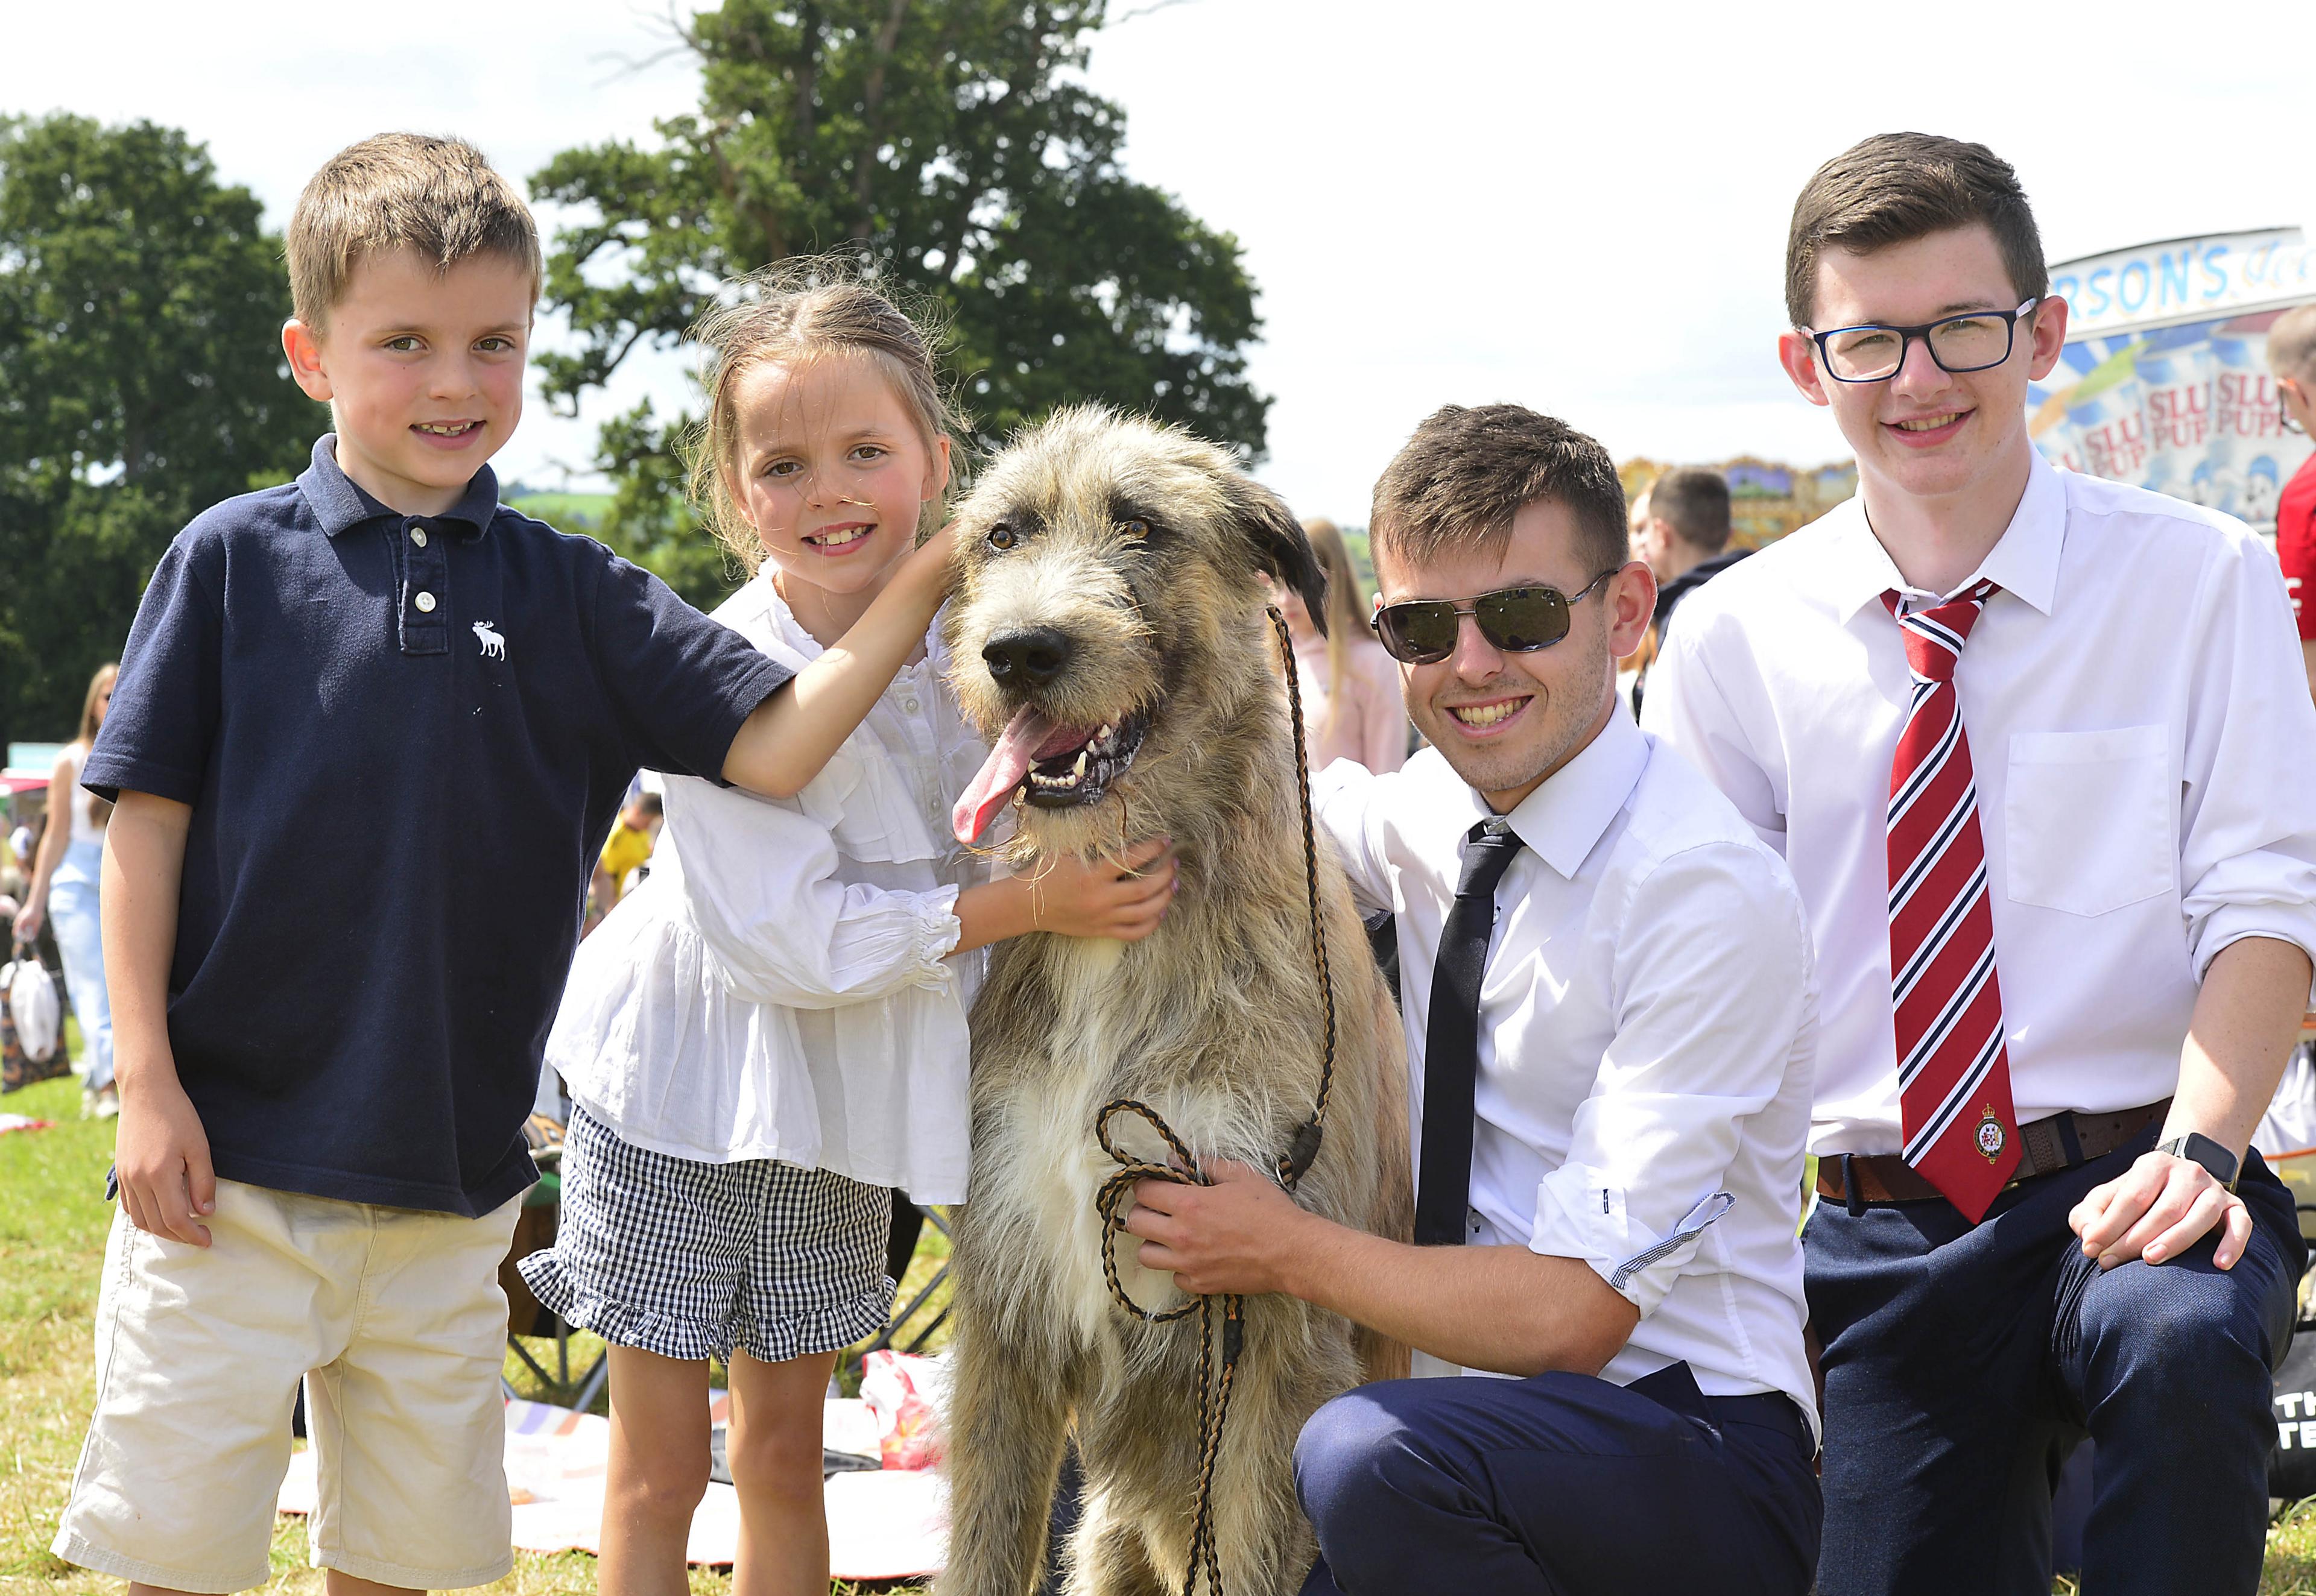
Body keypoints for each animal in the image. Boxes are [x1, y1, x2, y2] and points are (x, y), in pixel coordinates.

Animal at [926, 408, 1399, 1594]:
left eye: (1141, 524)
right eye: (1003, 533)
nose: (1020, 652)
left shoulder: (1272, 1326)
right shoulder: (1005, 1304)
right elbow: (983, 1540)